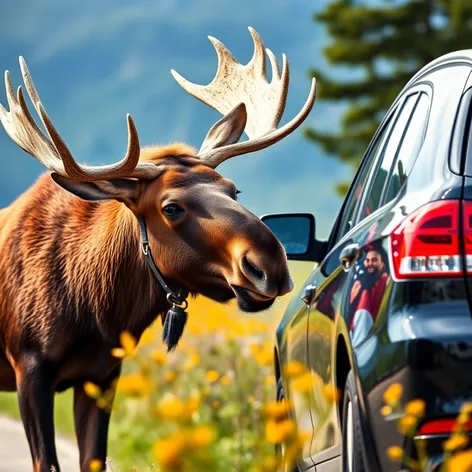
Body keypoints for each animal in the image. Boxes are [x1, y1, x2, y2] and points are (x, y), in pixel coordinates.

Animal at [0, 27, 316, 470]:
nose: (269, 265)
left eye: (234, 189)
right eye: (170, 207)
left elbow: (93, 459)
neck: (96, 308)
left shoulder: (103, 373)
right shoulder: (29, 366)